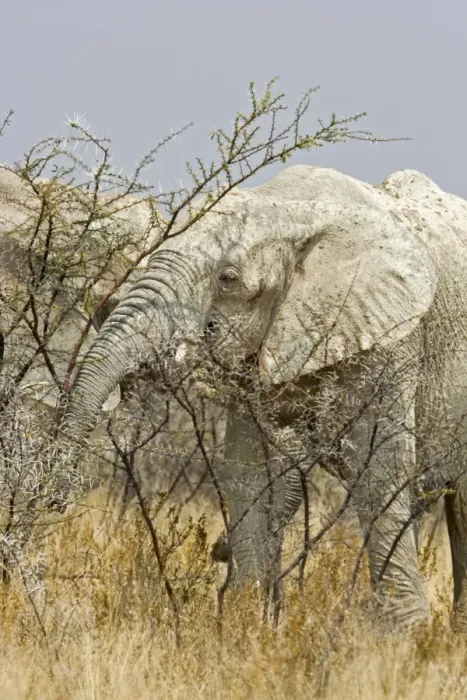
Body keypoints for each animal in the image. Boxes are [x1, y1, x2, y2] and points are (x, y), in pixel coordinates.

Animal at [61, 163, 467, 632]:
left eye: (228, 279)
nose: (59, 499)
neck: (287, 207)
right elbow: (247, 470)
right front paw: (244, 623)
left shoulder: (390, 331)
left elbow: (379, 469)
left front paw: (403, 636)